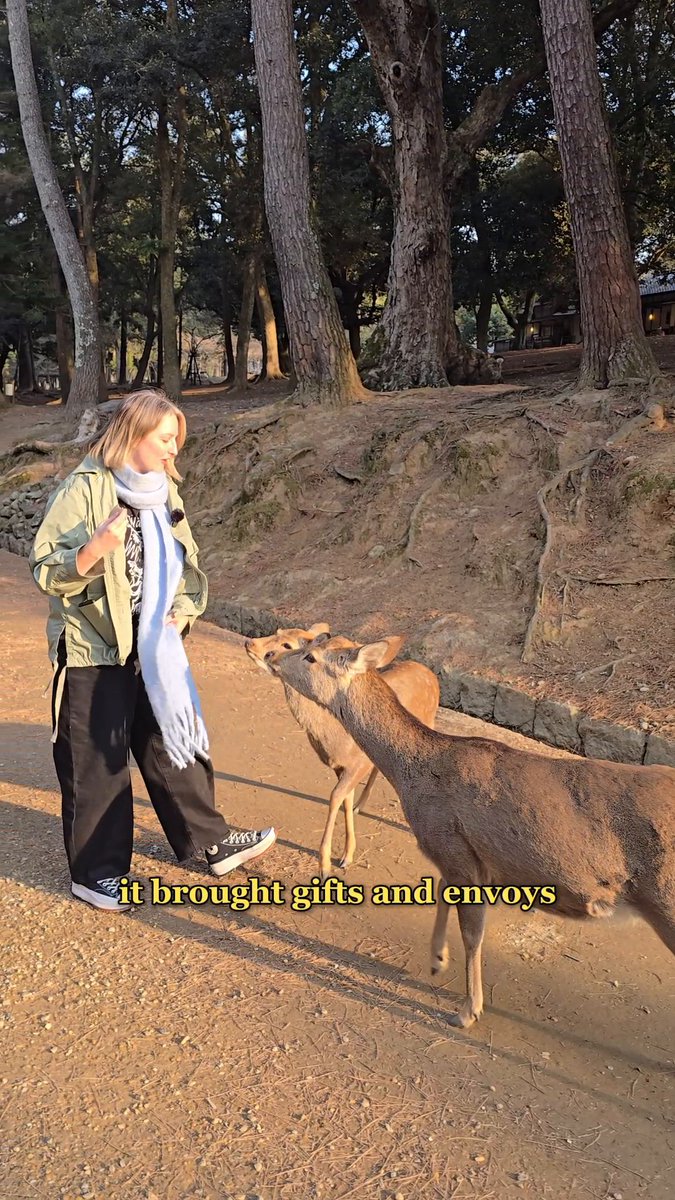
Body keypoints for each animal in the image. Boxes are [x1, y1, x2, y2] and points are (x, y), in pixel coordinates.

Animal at [244, 624, 439, 880]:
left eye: (289, 645)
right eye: (278, 630)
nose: (251, 643)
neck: (333, 739)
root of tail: (430, 673)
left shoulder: (357, 764)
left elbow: (335, 797)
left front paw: (327, 865)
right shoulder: (341, 767)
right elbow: (345, 801)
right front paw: (347, 854)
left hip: (429, 723)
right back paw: (361, 805)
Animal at [272, 633, 675, 1028]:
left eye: (311, 656)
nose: (274, 659)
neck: (416, 773)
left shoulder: (458, 848)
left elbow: (471, 932)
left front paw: (468, 1010)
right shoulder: (456, 855)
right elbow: (441, 893)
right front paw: (436, 960)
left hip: (665, 898)